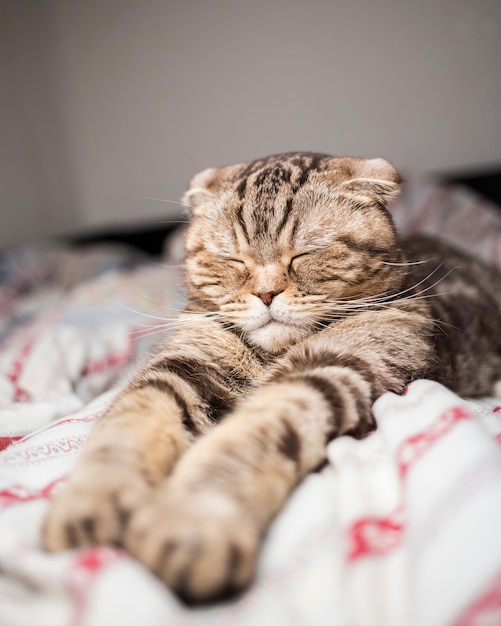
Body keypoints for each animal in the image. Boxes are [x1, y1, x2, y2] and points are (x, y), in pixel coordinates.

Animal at [41, 150, 500, 600]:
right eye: (232, 258)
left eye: (305, 253)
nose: (266, 294)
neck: (269, 355)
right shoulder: (182, 366)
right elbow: (126, 426)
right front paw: (94, 500)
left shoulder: (329, 368)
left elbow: (244, 442)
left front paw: (190, 521)